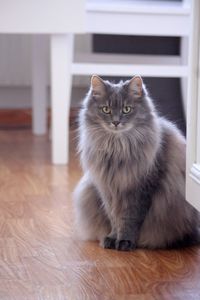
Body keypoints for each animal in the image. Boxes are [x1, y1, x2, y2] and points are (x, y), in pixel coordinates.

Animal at [73, 75, 200, 251]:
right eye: (106, 109)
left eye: (126, 109)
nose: (116, 122)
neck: (117, 147)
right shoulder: (107, 190)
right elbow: (114, 217)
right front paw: (112, 238)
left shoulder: (140, 189)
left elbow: (129, 218)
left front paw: (125, 242)